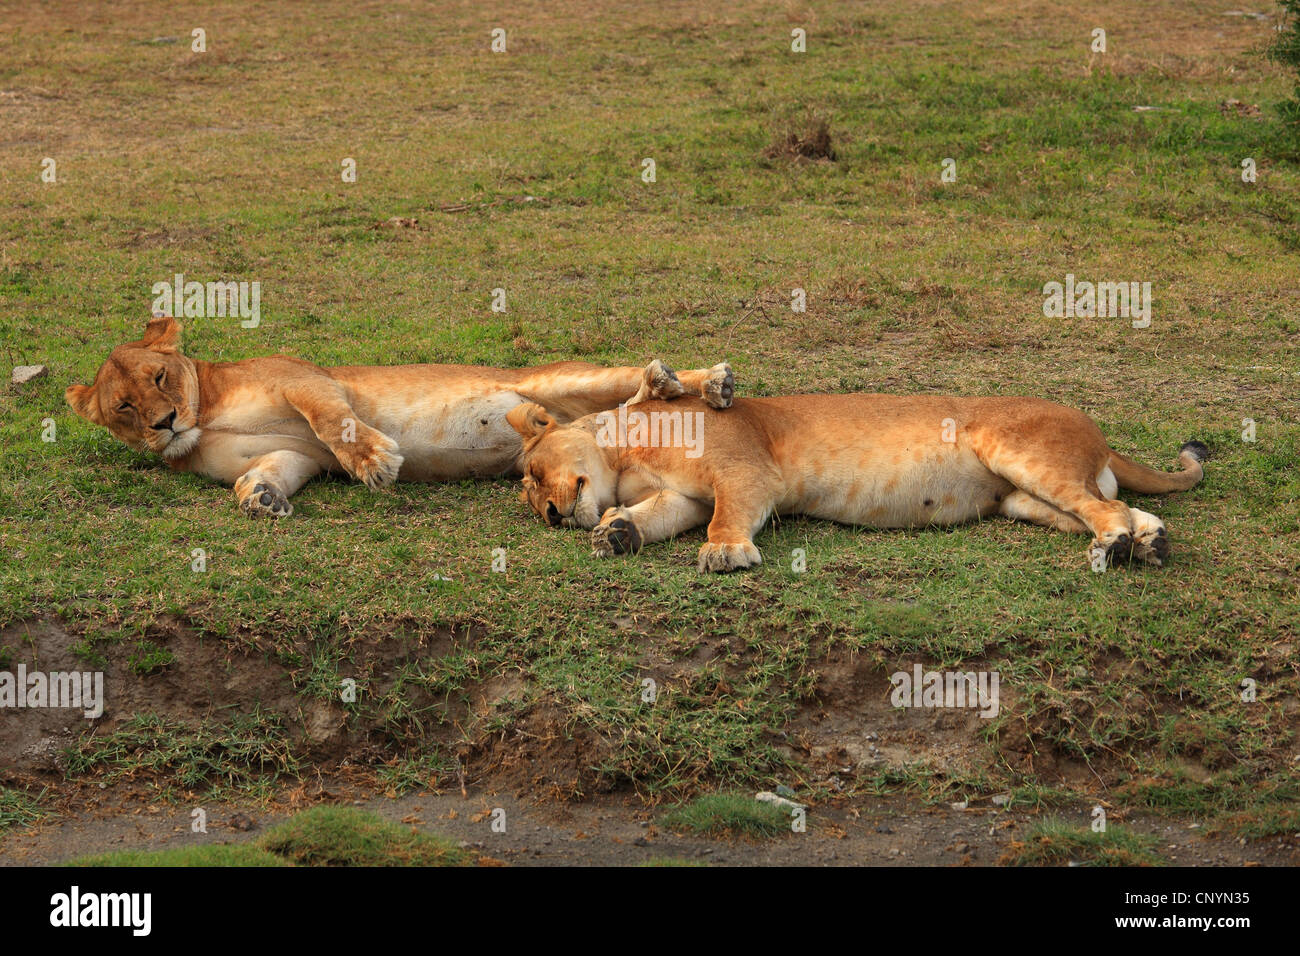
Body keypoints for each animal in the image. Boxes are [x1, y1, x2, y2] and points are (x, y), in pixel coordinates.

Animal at [65, 316, 738, 520]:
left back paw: (699, 381)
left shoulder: (305, 377)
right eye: (124, 408)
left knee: (624, 383)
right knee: (613, 415)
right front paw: (261, 498)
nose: (165, 422)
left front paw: (377, 461)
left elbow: (331, 420)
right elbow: (268, 471)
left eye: (159, 378)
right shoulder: (295, 456)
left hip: (555, 381)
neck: (205, 414)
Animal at [504, 385, 1206, 572]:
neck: (623, 455)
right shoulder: (680, 496)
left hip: (1018, 453)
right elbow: (655, 518)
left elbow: (724, 517)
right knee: (1101, 504)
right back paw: (1151, 540)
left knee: (1102, 511)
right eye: (530, 495)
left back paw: (1118, 547)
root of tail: (1100, 433)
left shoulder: (745, 471)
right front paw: (615, 533)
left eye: (534, 475)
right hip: (1021, 499)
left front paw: (726, 552)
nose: (549, 513)